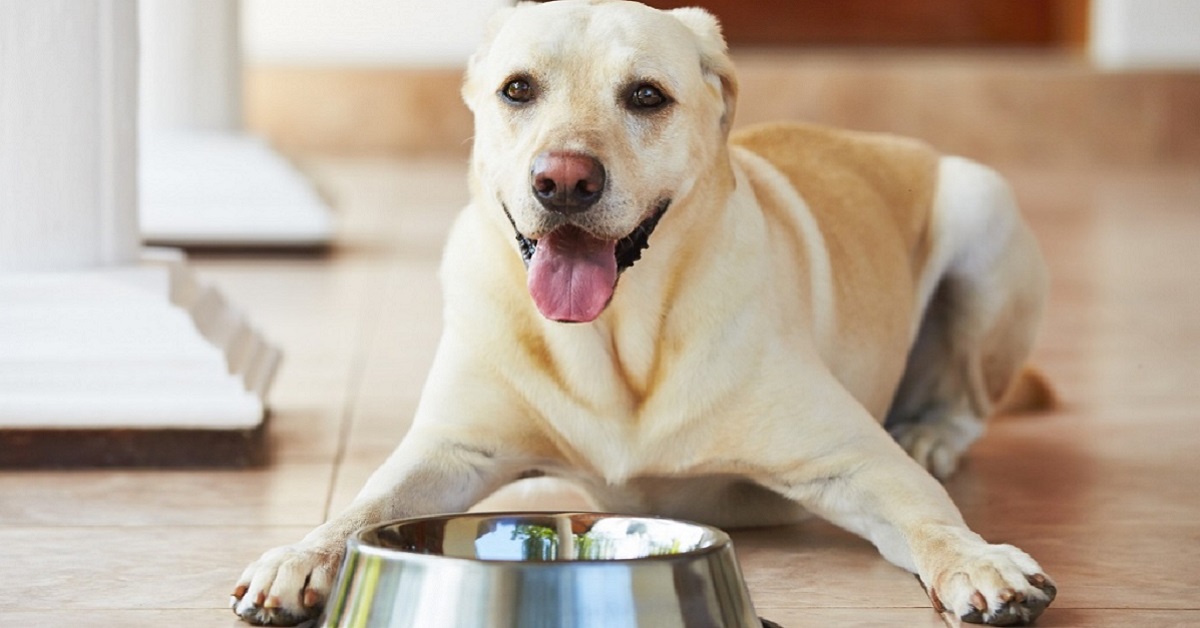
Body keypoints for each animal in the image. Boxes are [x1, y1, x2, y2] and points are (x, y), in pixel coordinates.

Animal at [229, 1, 1056, 624]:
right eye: (518, 90)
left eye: (647, 95)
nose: (564, 180)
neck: (616, 338)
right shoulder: (450, 449)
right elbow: (363, 506)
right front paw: (301, 555)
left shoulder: (853, 458)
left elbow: (931, 518)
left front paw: (981, 560)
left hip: (982, 208)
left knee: (966, 402)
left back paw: (932, 433)